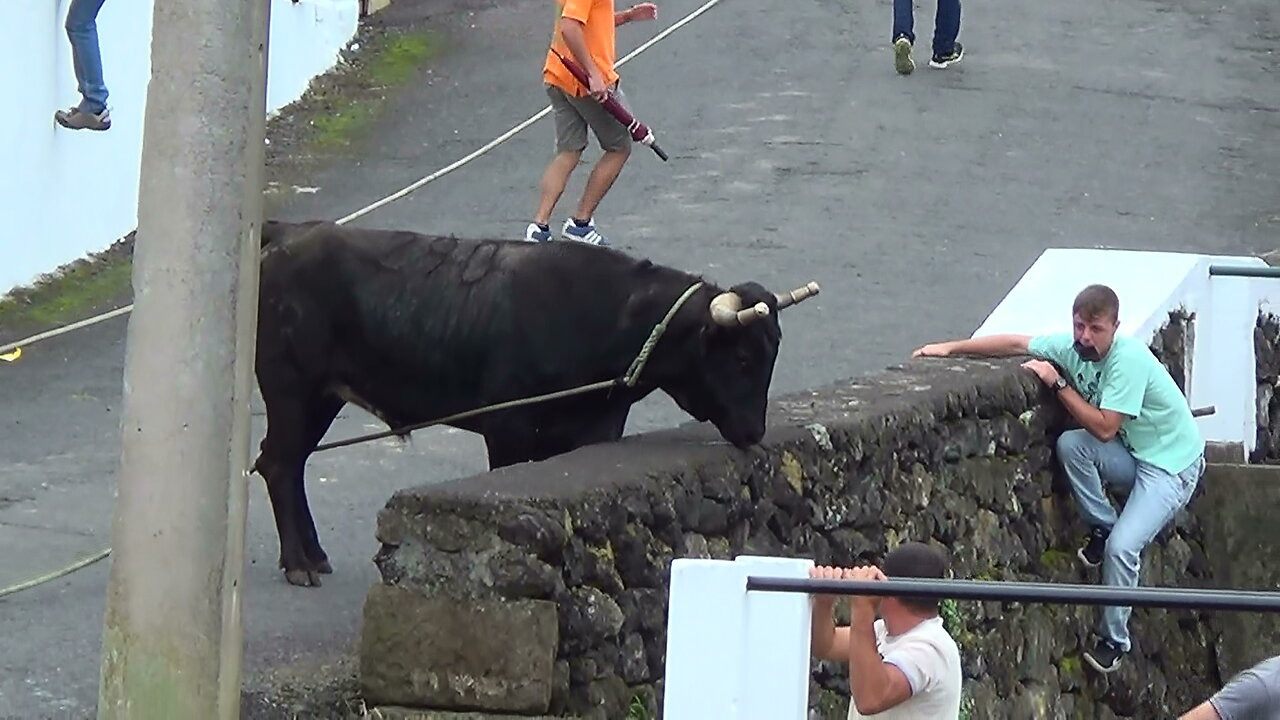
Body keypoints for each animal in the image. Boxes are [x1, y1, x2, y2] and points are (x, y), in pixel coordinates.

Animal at [254, 221, 819, 586]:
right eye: (742, 358)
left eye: (771, 353)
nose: (753, 431)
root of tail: (287, 235)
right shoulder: (507, 430)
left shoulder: (594, 429)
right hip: (290, 388)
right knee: (279, 464)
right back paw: (299, 564)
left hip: (320, 398)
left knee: (290, 462)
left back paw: (313, 555)